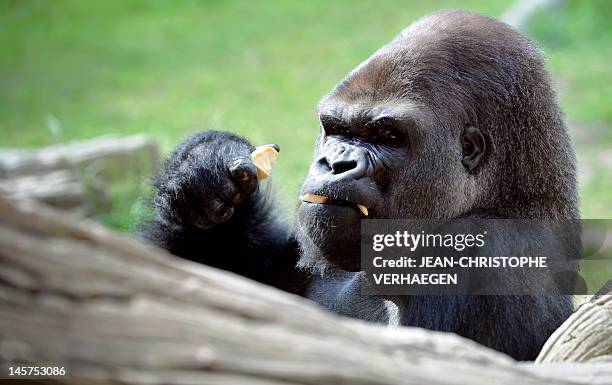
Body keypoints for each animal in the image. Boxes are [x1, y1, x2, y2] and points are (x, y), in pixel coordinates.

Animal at [143, 11, 580, 360]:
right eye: (337, 128)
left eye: (389, 136)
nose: (336, 163)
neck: (511, 197)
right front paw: (204, 167)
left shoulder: (484, 254)